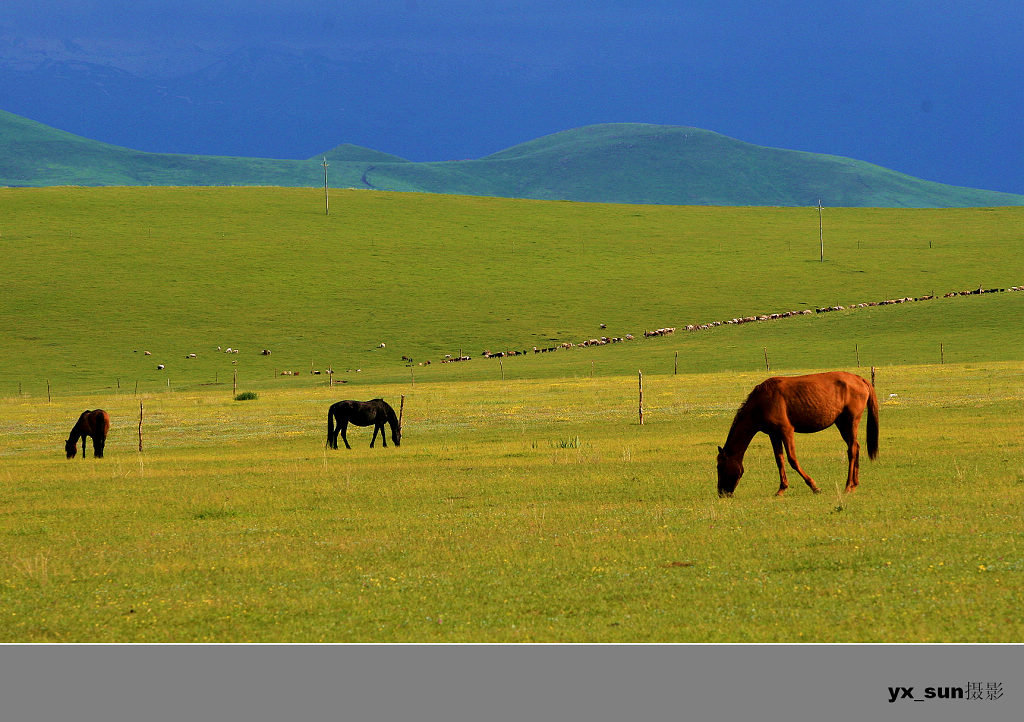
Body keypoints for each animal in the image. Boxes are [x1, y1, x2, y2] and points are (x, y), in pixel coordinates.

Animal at [716, 372, 876, 495]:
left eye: (719, 467)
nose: (721, 492)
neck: (762, 402)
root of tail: (860, 379)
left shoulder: (786, 431)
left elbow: (792, 459)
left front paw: (814, 486)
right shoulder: (774, 434)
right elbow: (779, 460)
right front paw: (781, 489)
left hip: (851, 421)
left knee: (852, 449)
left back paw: (848, 486)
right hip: (842, 423)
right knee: (855, 447)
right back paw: (854, 484)